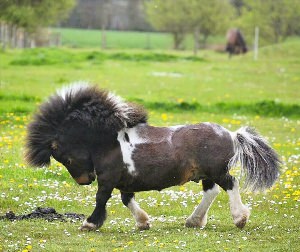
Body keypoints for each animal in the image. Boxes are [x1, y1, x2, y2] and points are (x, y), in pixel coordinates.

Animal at [24, 82, 280, 230]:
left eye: (65, 158)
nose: (85, 180)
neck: (108, 142)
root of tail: (232, 134)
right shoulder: (125, 181)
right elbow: (126, 200)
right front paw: (143, 222)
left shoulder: (108, 178)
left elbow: (101, 198)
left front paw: (89, 223)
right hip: (206, 174)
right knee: (212, 191)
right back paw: (193, 221)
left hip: (217, 170)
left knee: (230, 184)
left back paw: (239, 219)